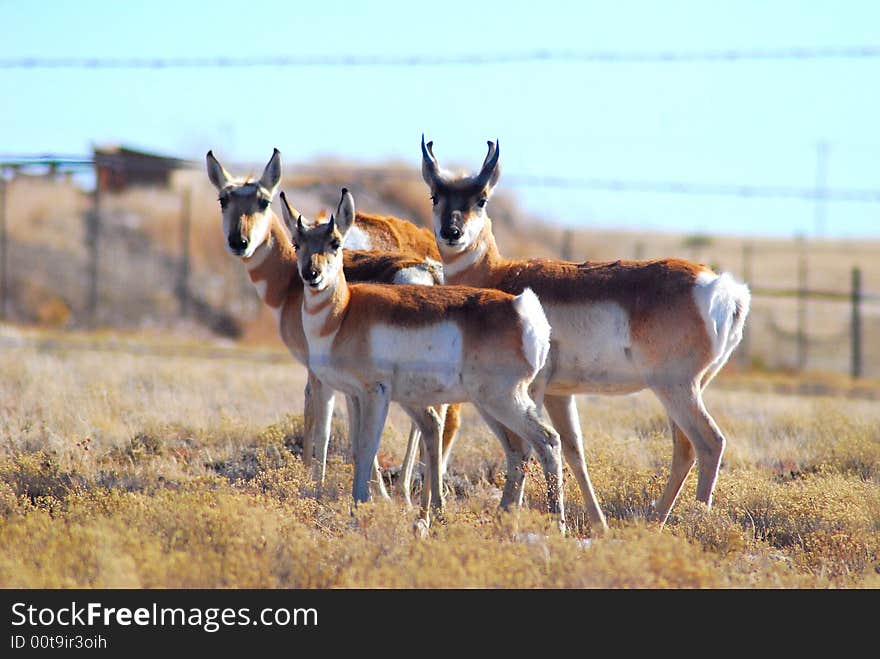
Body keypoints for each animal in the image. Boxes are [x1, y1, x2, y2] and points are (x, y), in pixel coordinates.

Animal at [206, 150, 460, 500]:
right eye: (223, 198)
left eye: (263, 200)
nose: (238, 242)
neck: (288, 282)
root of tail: (429, 272)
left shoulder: (319, 372)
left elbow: (321, 425)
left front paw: (313, 484)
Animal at [284, 188, 564, 528]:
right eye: (297, 243)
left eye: (335, 243)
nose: (311, 275)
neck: (344, 312)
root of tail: (521, 308)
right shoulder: (355, 395)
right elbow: (357, 448)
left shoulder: (376, 394)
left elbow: (366, 447)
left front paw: (359, 508)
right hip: (490, 406)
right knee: (518, 450)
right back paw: (503, 520)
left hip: (502, 401)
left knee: (547, 441)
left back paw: (557, 525)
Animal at [420, 137, 748, 528]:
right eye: (435, 195)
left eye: (481, 198)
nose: (451, 233)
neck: (500, 273)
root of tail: (720, 286)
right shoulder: (559, 395)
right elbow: (574, 450)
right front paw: (598, 522)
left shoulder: (532, 390)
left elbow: (524, 446)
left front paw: (509, 515)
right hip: (682, 390)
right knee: (684, 448)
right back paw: (655, 521)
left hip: (674, 387)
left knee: (708, 442)